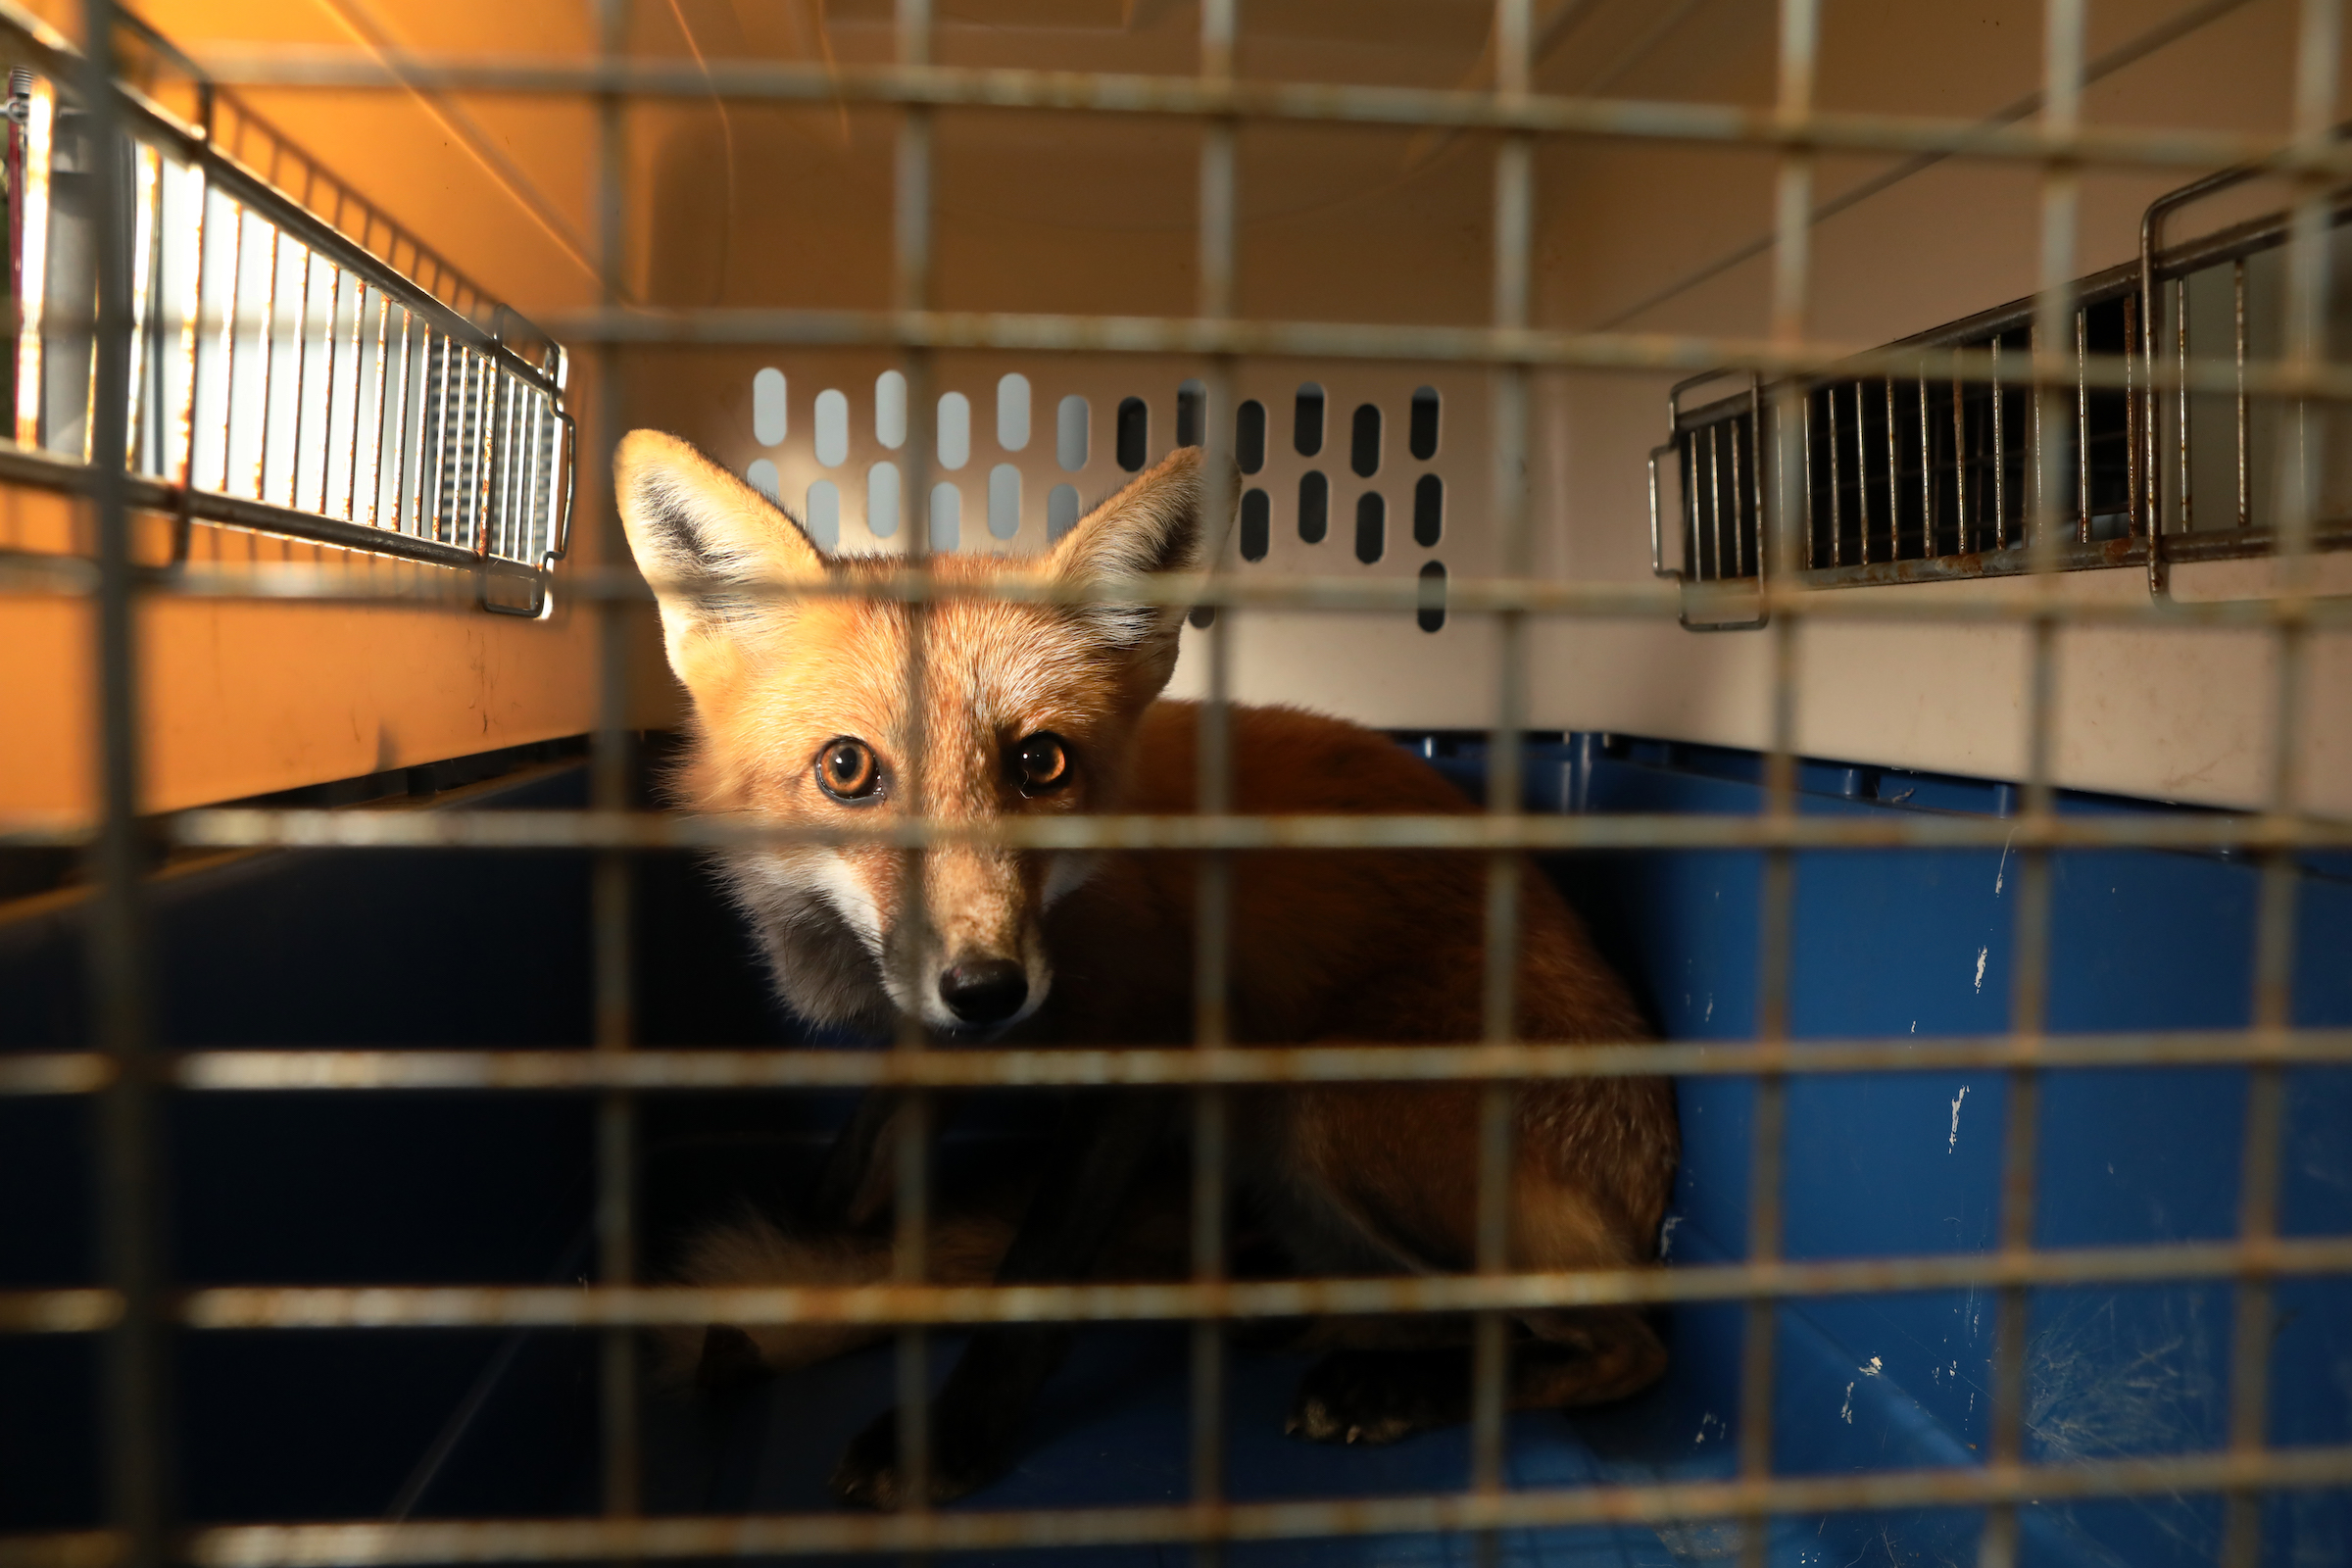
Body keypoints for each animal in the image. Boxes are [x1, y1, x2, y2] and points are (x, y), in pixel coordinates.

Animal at [614, 430, 1680, 1508]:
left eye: (1041, 763)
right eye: (847, 769)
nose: (990, 990)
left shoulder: (1148, 1045)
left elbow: (1033, 1275)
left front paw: (946, 1441)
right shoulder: (937, 1039)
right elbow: (846, 1182)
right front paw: (813, 1258)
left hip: (1326, 1110)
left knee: (1621, 1345)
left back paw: (1389, 1383)